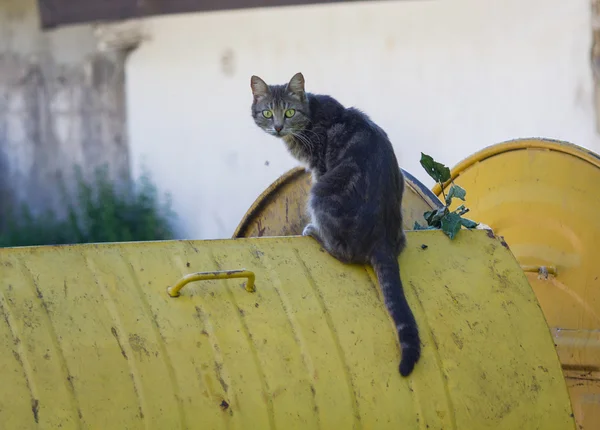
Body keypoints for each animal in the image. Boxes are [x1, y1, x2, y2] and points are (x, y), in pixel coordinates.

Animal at [248, 72, 422, 374]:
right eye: (268, 113)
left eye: (289, 112)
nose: (279, 127)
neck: (311, 115)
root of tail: (382, 239)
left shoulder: (318, 169)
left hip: (321, 193)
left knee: (344, 253)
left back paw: (314, 233)